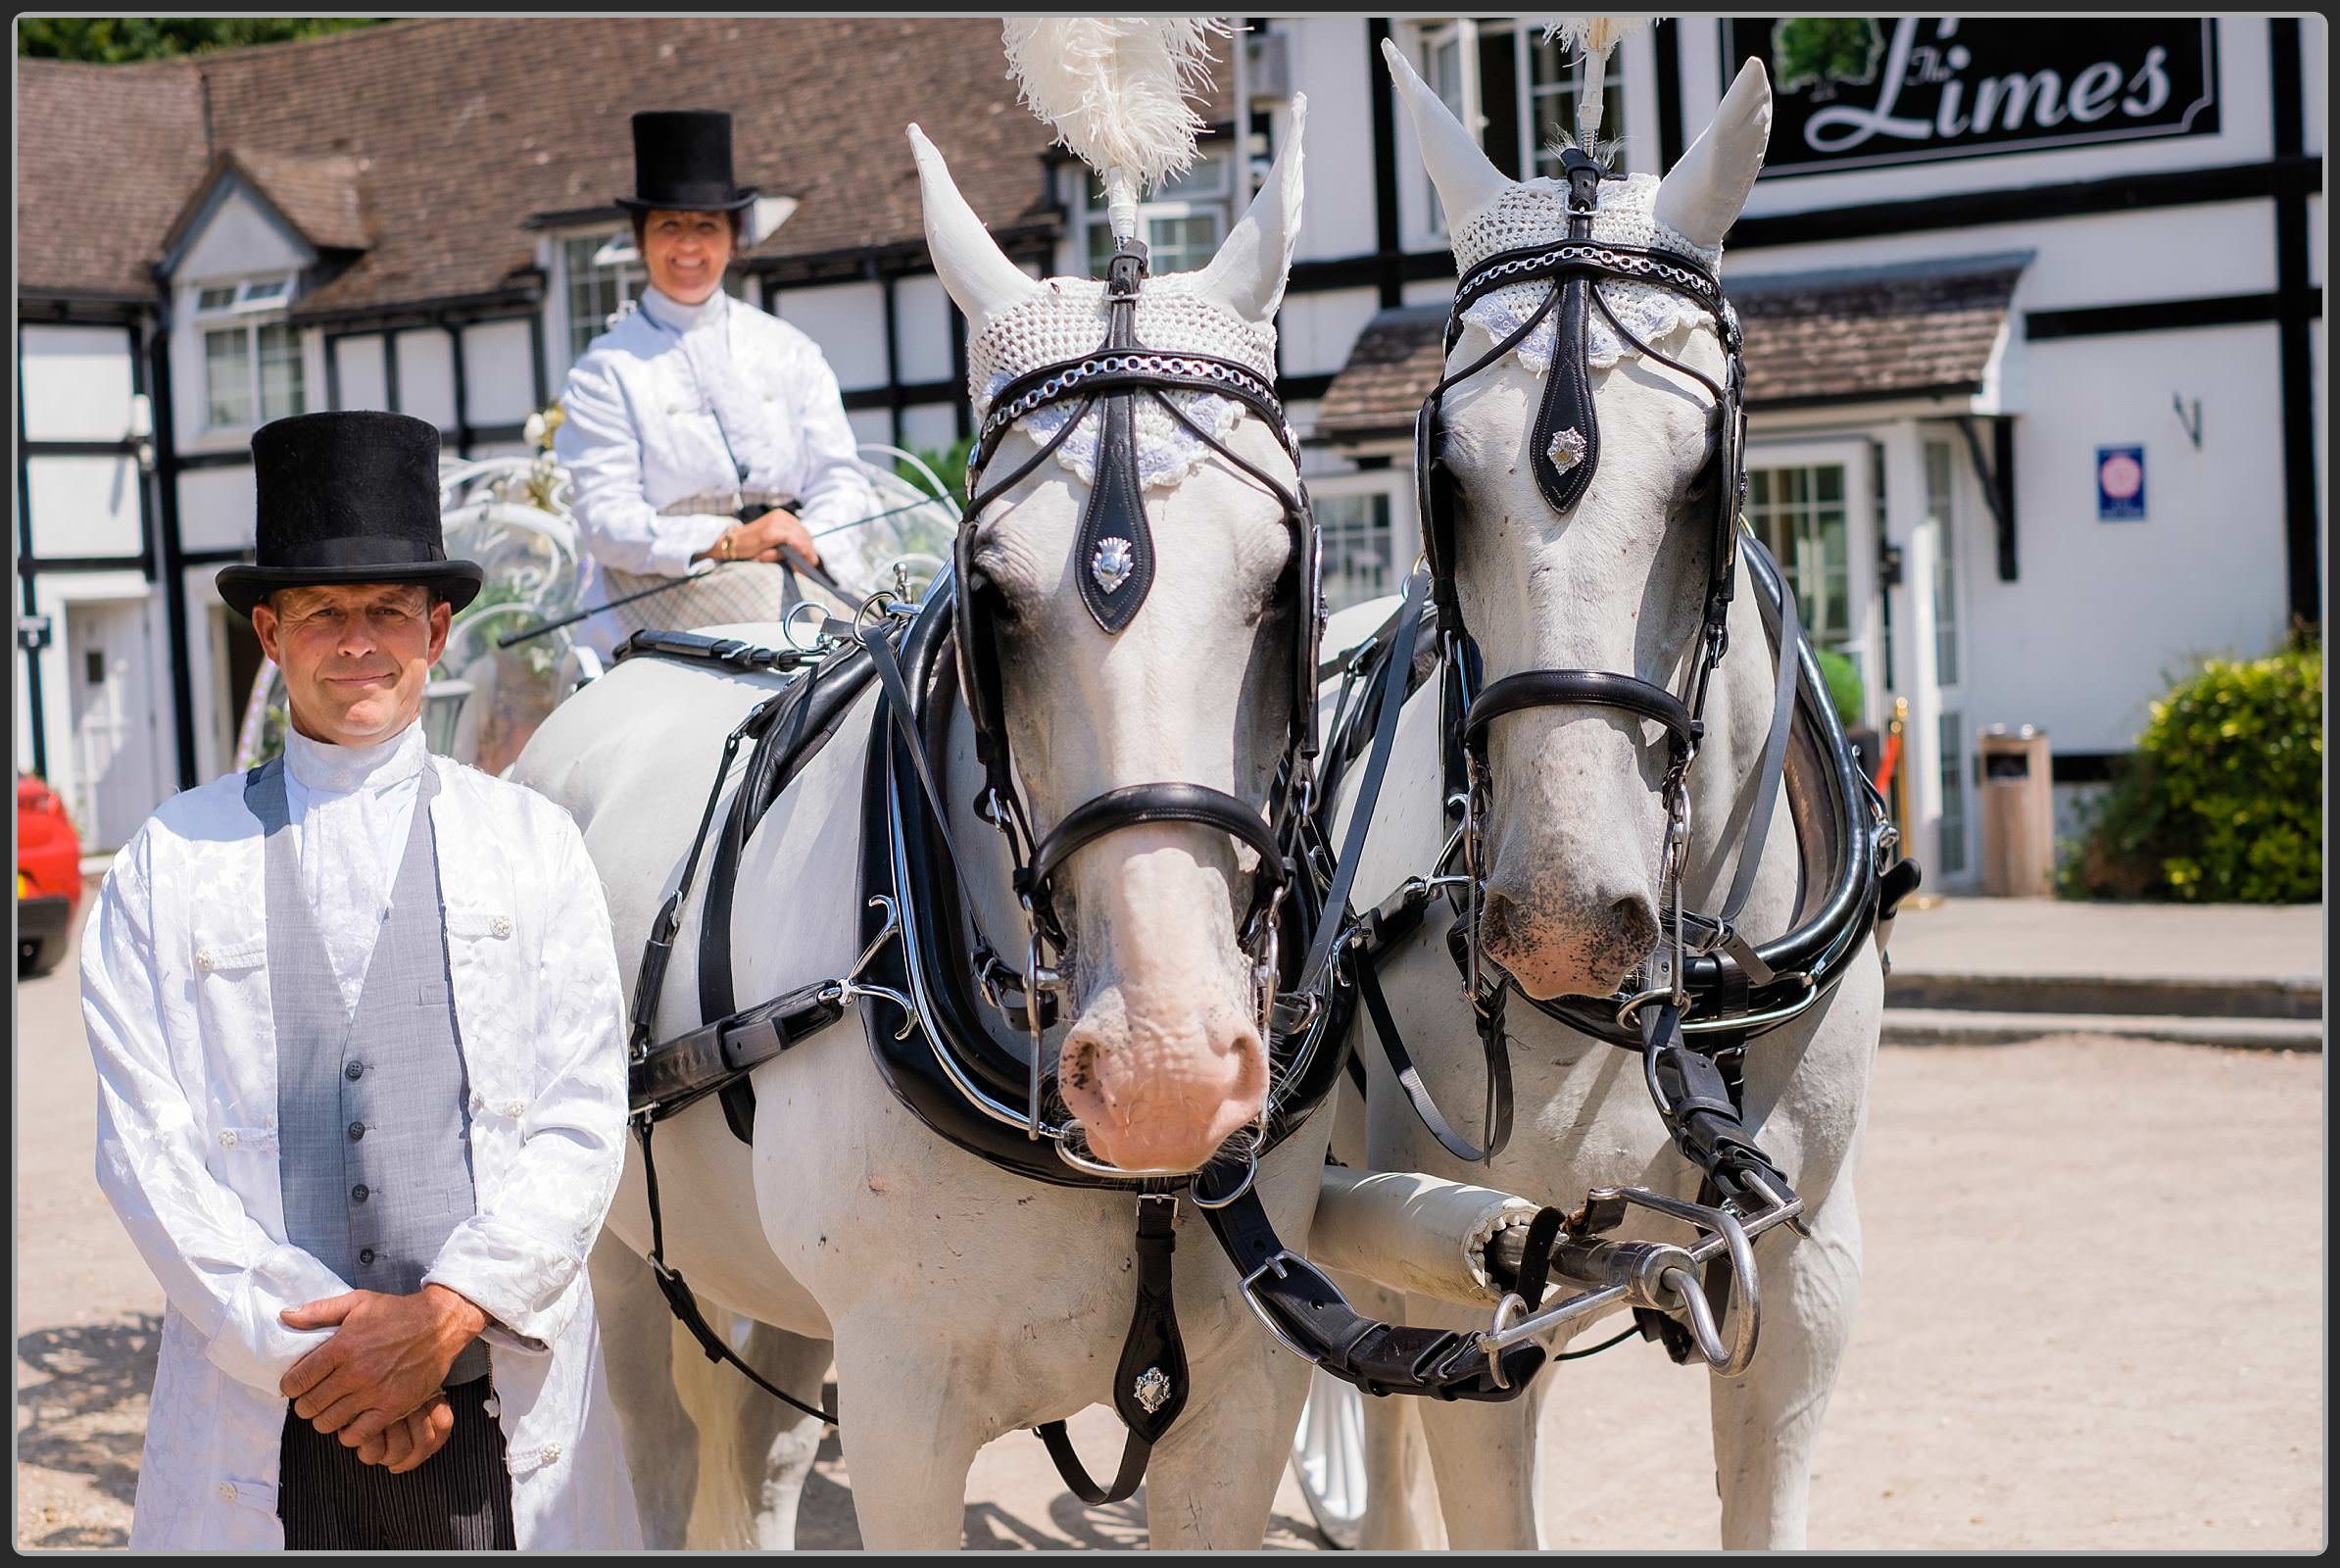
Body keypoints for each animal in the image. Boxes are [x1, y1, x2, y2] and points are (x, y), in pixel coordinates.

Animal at [510, 117, 1338, 1553]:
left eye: (1281, 573)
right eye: (990, 591)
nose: (1166, 1074)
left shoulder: (1243, 1404)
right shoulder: (904, 1411)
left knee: (765, 1454)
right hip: (620, 1255)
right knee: (666, 1454)